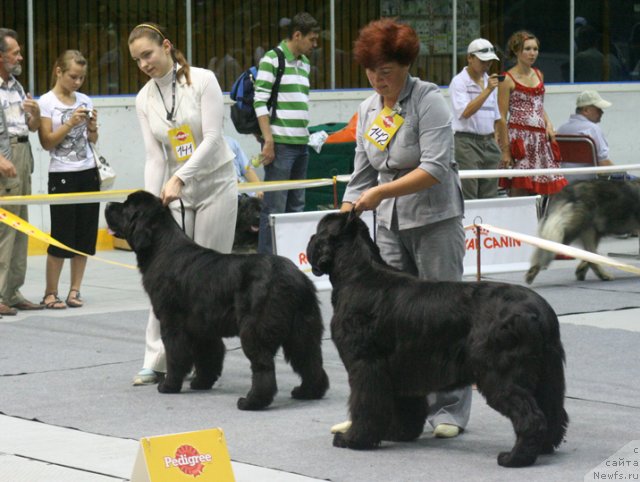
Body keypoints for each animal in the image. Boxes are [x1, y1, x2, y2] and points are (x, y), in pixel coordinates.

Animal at [105, 190, 330, 408]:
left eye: (127, 206)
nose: (107, 204)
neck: (160, 248)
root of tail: (295, 277)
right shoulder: (202, 326)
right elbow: (208, 354)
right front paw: (201, 383)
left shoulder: (172, 321)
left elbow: (176, 355)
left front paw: (169, 386)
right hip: (302, 328)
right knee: (310, 360)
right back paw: (308, 392)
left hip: (255, 329)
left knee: (264, 366)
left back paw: (251, 402)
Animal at [308, 212, 568, 466]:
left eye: (319, 230)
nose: (310, 241)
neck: (357, 274)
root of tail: (540, 311)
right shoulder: (404, 366)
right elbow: (407, 406)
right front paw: (400, 433)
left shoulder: (365, 365)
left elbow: (364, 405)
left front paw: (353, 439)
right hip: (548, 374)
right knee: (553, 411)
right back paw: (543, 448)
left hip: (502, 375)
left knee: (531, 417)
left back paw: (515, 458)